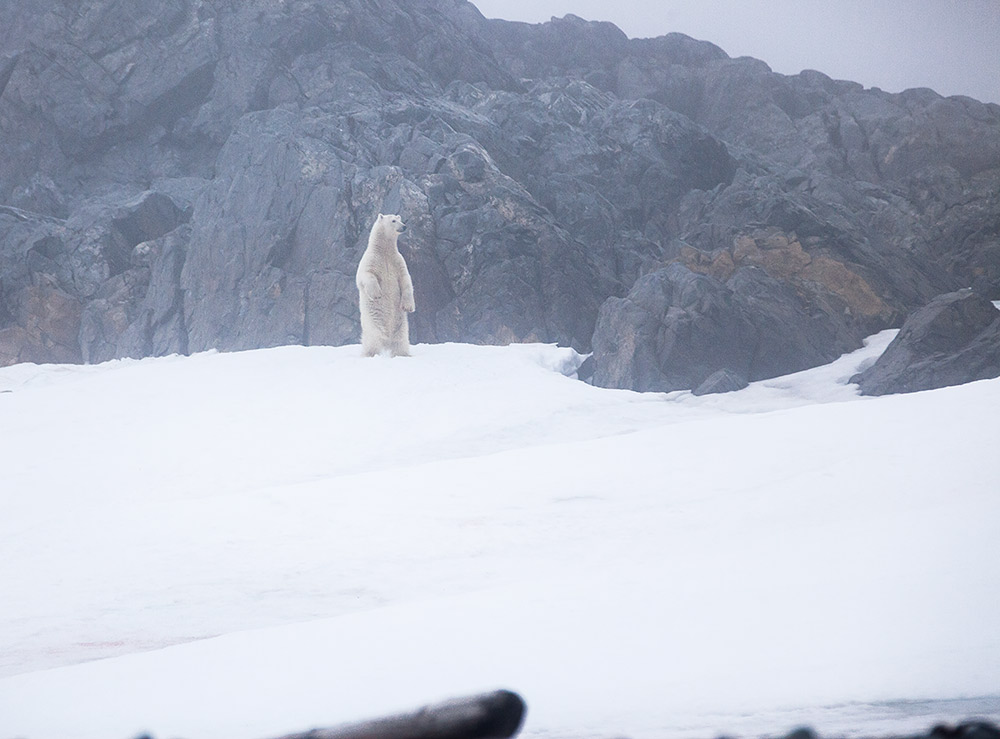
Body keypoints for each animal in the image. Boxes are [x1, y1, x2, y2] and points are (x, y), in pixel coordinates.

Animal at [356, 212, 414, 356]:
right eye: (393, 220)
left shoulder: (398, 261)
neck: (384, 251)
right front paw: (377, 294)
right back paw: (370, 353)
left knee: (401, 340)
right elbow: (366, 274)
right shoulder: (371, 259)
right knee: (374, 340)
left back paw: (403, 354)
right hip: (374, 322)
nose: (404, 226)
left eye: (400, 219)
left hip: (401, 325)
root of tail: (388, 340)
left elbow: (406, 280)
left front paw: (408, 306)